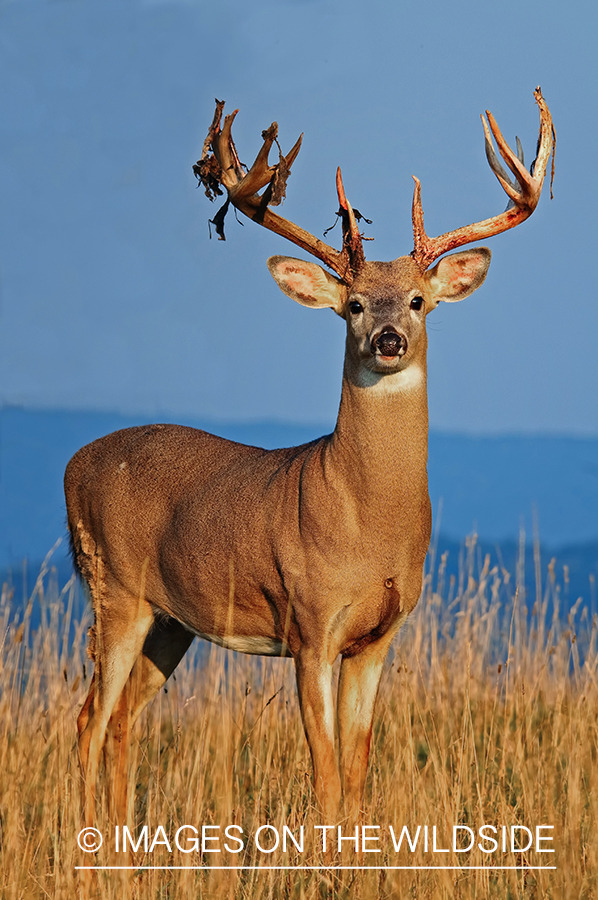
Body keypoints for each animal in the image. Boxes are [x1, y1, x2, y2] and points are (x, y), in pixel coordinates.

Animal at [65, 88, 556, 832]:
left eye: (419, 301)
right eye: (352, 304)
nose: (388, 338)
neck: (365, 521)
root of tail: (72, 464)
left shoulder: (379, 636)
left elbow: (356, 771)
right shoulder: (309, 624)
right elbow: (324, 772)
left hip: (169, 621)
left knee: (120, 720)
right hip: (112, 589)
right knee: (87, 721)